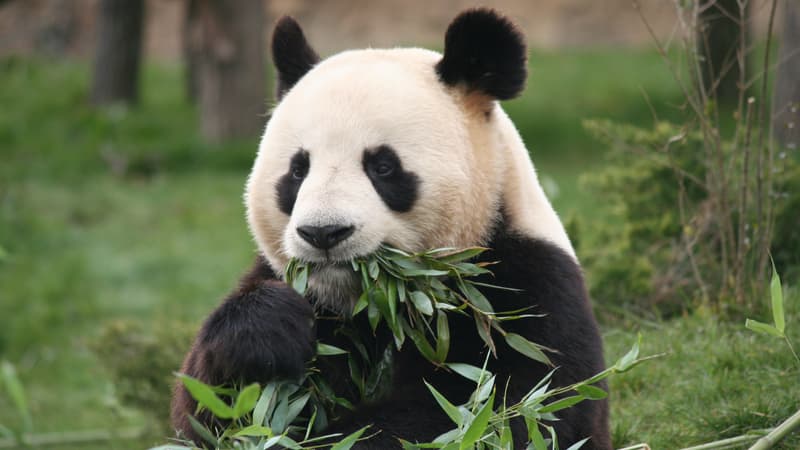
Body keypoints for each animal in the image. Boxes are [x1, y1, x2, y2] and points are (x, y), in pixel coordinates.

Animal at [172, 7, 612, 450]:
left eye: (382, 166)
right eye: (297, 170)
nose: (324, 233)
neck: (381, 302)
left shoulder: (521, 290)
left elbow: (498, 407)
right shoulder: (296, 290)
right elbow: (205, 414)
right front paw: (270, 330)